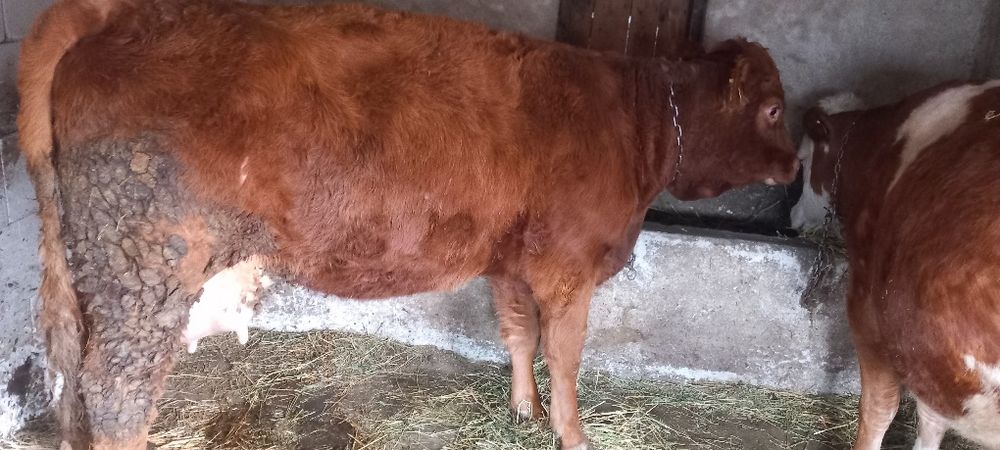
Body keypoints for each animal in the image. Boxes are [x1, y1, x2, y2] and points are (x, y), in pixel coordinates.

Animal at [20, 0, 798, 448]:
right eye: (772, 110)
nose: (796, 164)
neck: (635, 122)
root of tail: (113, 14)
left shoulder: (512, 261)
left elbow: (519, 336)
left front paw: (523, 411)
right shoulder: (568, 265)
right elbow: (567, 357)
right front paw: (571, 433)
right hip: (146, 262)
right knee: (117, 390)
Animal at [792, 81, 1000, 449]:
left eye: (803, 160)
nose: (792, 217)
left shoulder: (868, 313)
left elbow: (878, 409)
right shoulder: (932, 354)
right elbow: (931, 415)